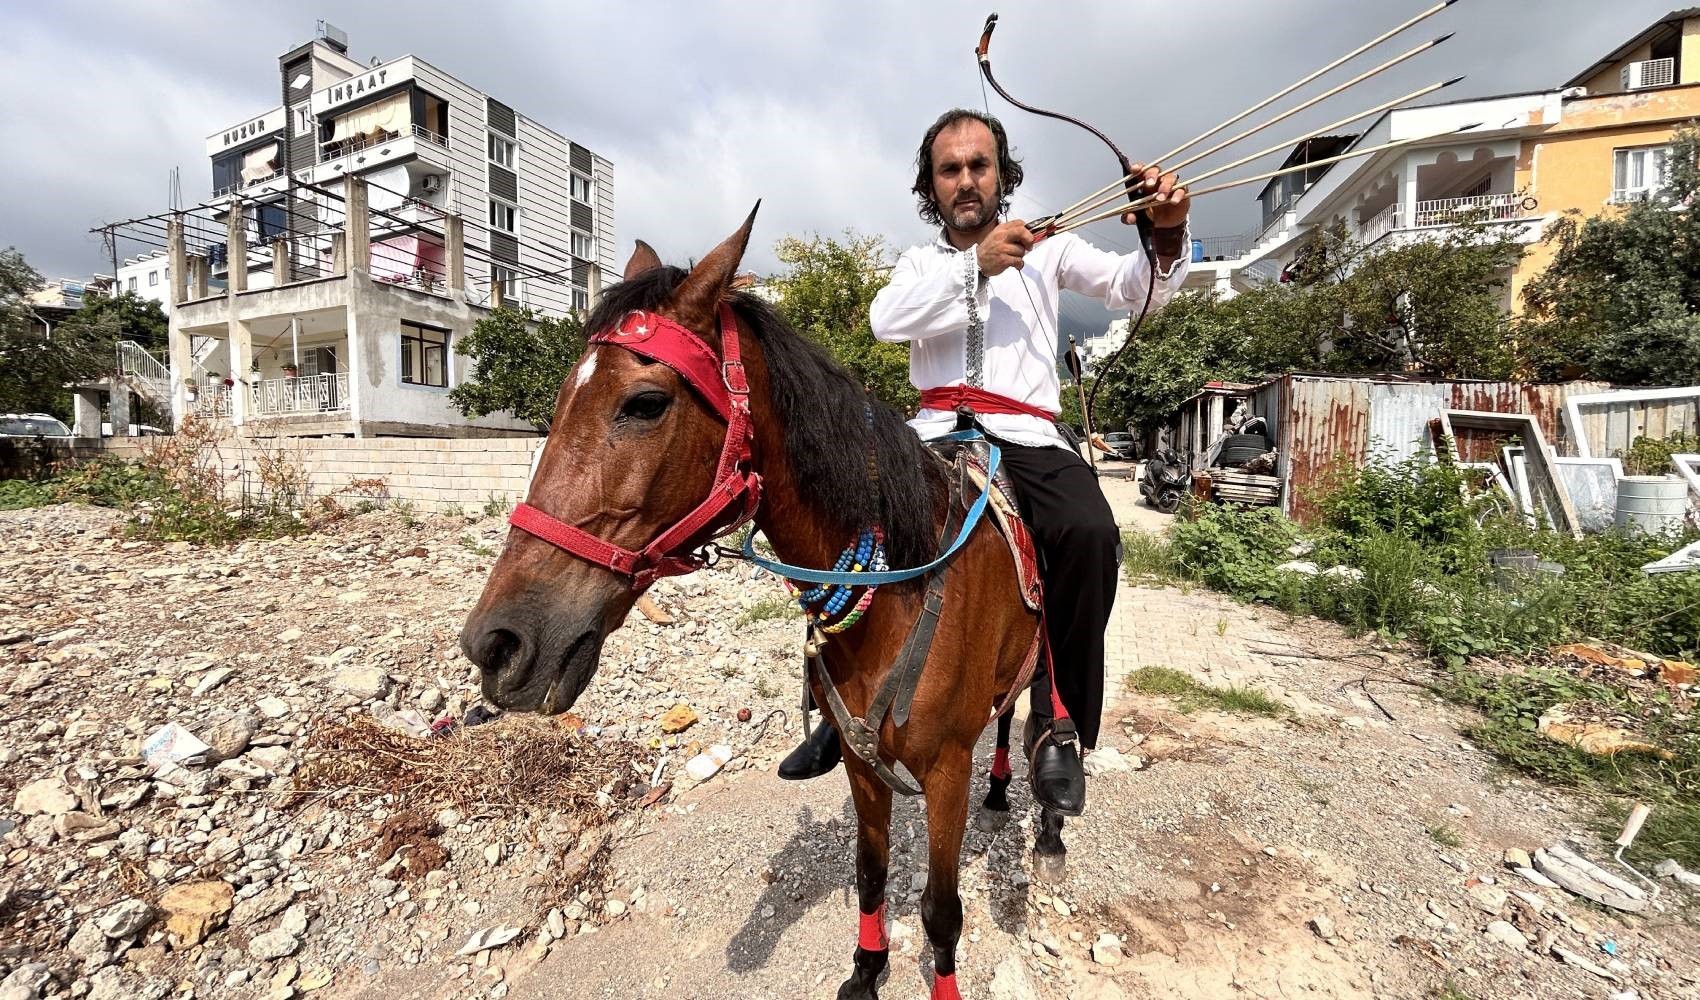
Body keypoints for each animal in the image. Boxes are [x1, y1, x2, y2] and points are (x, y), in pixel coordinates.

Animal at [459, 209, 1054, 993]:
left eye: (644, 403)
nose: (495, 644)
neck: (904, 588)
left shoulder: (947, 773)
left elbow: (940, 910)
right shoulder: (862, 764)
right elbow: (869, 873)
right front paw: (865, 970)